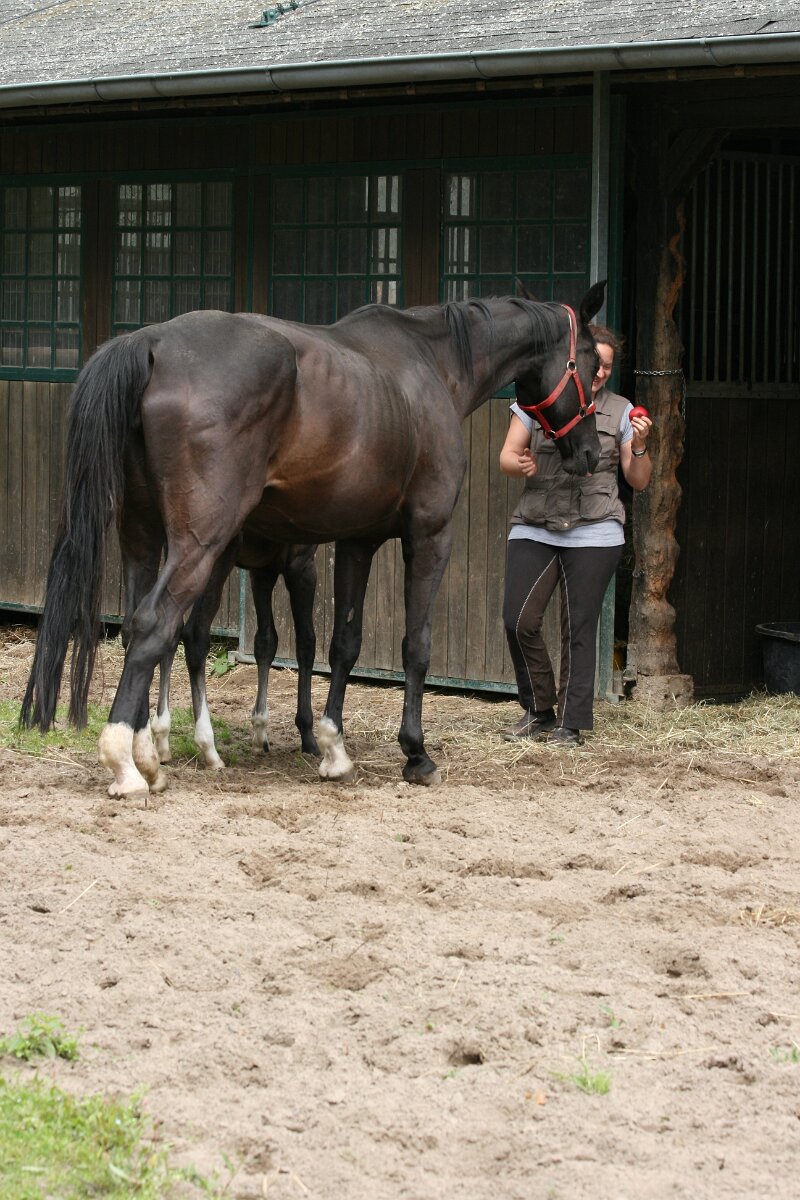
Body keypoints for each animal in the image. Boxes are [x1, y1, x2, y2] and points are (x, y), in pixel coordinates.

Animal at [21, 279, 606, 797]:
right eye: (592, 365)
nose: (589, 453)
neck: (431, 363)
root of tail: (154, 344)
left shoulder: (357, 542)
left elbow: (343, 642)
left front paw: (333, 747)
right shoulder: (428, 536)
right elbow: (416, 645)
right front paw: (416, 754)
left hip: (142, 537)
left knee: (135, 627)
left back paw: (150, 754)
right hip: (198, 546)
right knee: (153, 627)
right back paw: (127, 763)